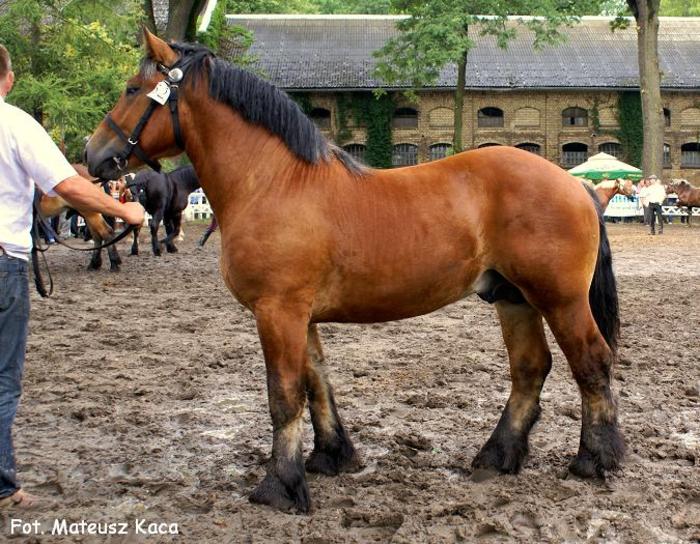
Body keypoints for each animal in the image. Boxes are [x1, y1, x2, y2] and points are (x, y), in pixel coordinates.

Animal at [85, 30, 628, 516]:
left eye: (132, 89)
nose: (94, 155)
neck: (274, 182)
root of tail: (580, 188)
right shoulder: (299, 316)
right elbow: (317, 383)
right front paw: (330, 456)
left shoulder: (277, 311)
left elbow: (284, 395)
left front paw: (280, 486)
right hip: (513, 297)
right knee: (531, 368)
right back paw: (497, 456)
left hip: (559, 300)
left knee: (591, 362)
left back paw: (594, 459)